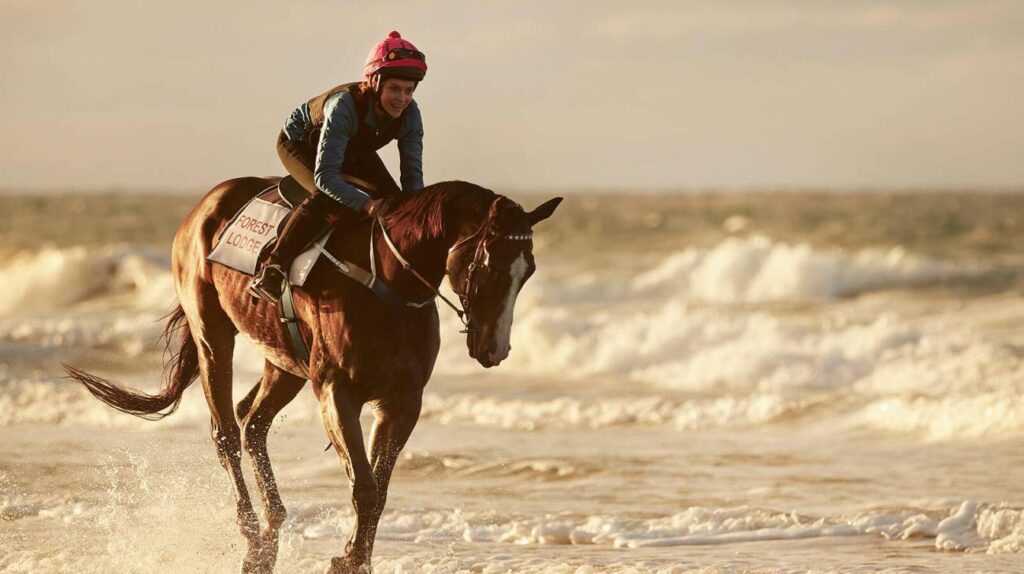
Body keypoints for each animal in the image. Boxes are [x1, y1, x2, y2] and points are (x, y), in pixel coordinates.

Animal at [64, 177, 561, 568]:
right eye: (489, 265)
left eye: (529, 270)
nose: (495, 349)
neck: (389, 283)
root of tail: (207, 204)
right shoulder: (337, 393)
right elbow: (364, 487)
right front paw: (348, 560)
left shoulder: (402, 402)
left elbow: (378, 489)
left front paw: (353, 556)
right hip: (213, 336)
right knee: (226, 433)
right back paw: (251, 536)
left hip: (284, 364)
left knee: (253, 423)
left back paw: (270, 535)